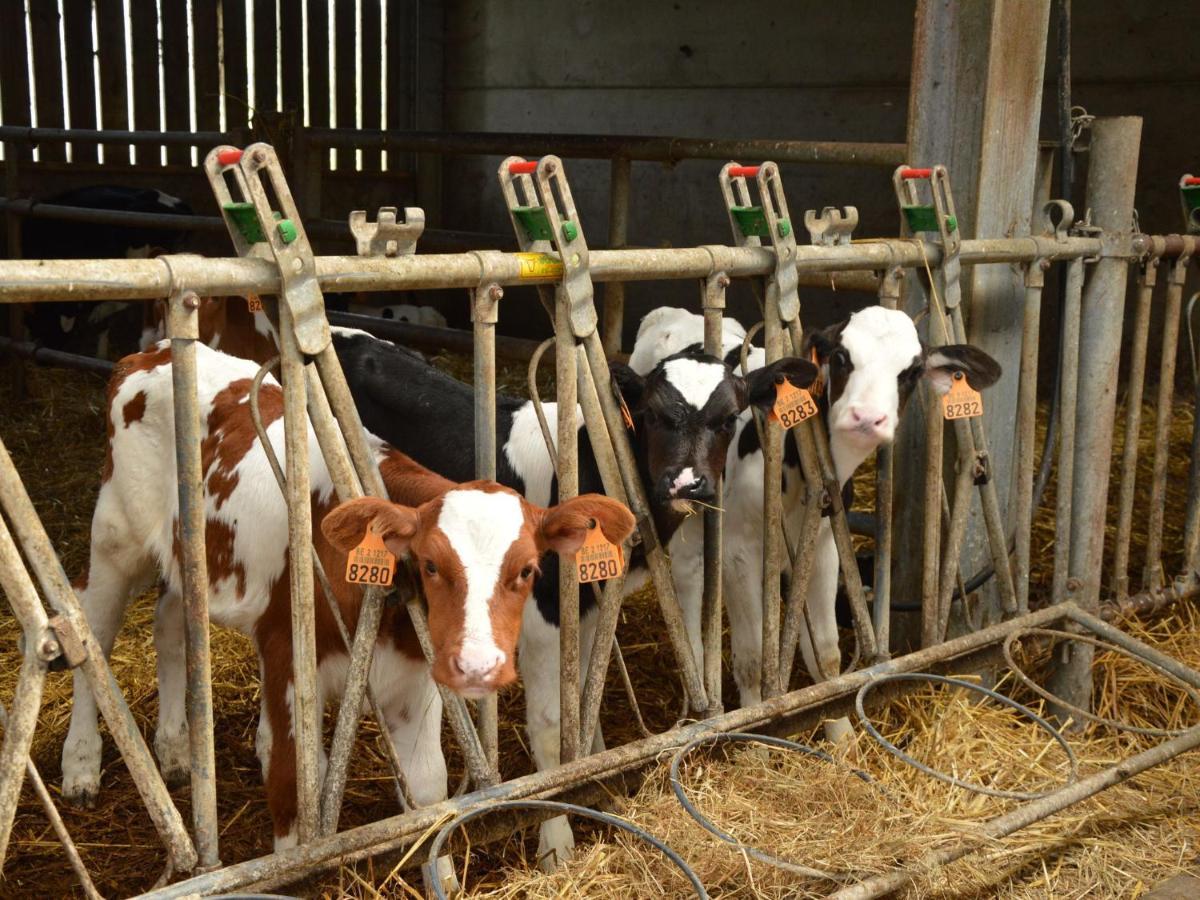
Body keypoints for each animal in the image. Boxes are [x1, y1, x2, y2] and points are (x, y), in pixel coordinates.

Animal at [63, 340, 638, 849]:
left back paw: (177, 750)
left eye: (527, 569)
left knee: (168, 625)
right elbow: (296, 799)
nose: (478, 665)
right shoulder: (290, 662)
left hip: (190, 560)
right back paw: (81, 764)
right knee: (93, 633)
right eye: (430, 565)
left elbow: (427, 792)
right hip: (115, 538)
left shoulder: (415, 683)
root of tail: (151, 352)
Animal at [328, 328, 816, 864]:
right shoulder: (545, 612)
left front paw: (597, 784)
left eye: (729, 418)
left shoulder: (591, 603)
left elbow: (584, 700)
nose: (687, 482)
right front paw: (557, 844)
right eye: (652, 415)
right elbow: (549, 725)